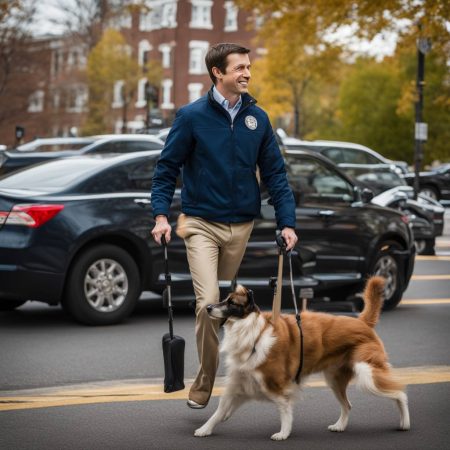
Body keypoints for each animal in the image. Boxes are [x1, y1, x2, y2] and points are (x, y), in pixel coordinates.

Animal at [194, 276, 412, 442]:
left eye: (231, 303)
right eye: (224, 299)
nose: (209, 308)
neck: (252, 331)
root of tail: (361, 322)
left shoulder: (276, 385)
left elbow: (285, 410)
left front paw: (283, 433)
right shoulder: (240, 384)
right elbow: (219, 411)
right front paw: (205, 429)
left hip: (366, 372)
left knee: (399, 393)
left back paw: (405, 422)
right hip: (335, 379)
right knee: (347, 405)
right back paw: (340, 426)